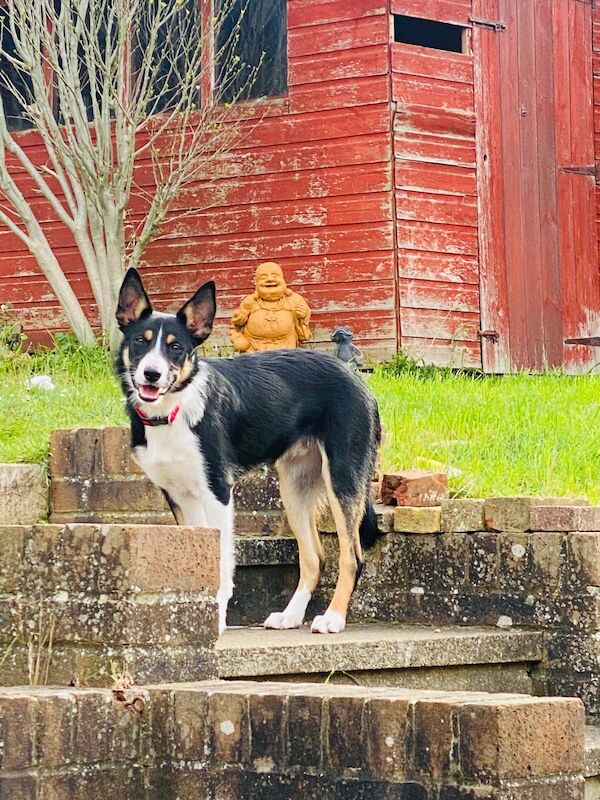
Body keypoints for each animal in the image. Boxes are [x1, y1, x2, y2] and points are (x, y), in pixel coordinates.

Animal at [115, 272, 382, 636]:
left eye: (176, 347)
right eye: (139, 343)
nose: (151, 375)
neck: (174, 411)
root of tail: (358, 381)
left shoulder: (217, 492)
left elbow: (223, 563)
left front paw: (217, 621)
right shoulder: (180, 497)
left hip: (343, 479)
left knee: (351, 555)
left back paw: (333, 618)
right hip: (294, 487)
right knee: (314, 558)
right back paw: (290, 616)